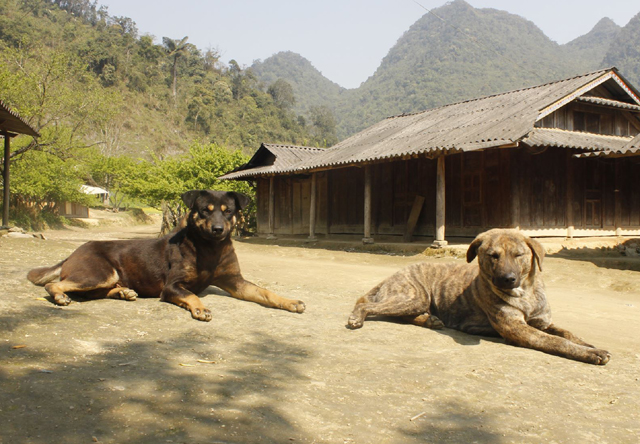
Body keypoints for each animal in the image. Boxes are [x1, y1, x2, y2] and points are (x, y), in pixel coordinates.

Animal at [30, 189, 308, 320]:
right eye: (205, 211)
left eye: (228, 211)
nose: (218, 229)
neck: (210, 248)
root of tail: (72, 254)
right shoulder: (173, 286)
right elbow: (191, 295)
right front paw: (200, 308)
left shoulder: (235, 281)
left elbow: (265, 292)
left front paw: (289, 301)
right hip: (98, 272)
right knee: (56, 285)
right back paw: (60, 297)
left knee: (93, 293)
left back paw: (123, 292)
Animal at [350, 227, 608, 366]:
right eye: (493, 256)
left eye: (519, 255)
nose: (507, 279)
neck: (526, 294)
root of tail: (391, 275)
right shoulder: (519, 329)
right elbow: (556, 341)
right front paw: (591, 353)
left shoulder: (542, 322)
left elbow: (568, 333)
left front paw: (587, 344)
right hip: (413, 297)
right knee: (366, 305)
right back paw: (357, 317)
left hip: (415, 301)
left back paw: (431, 320)